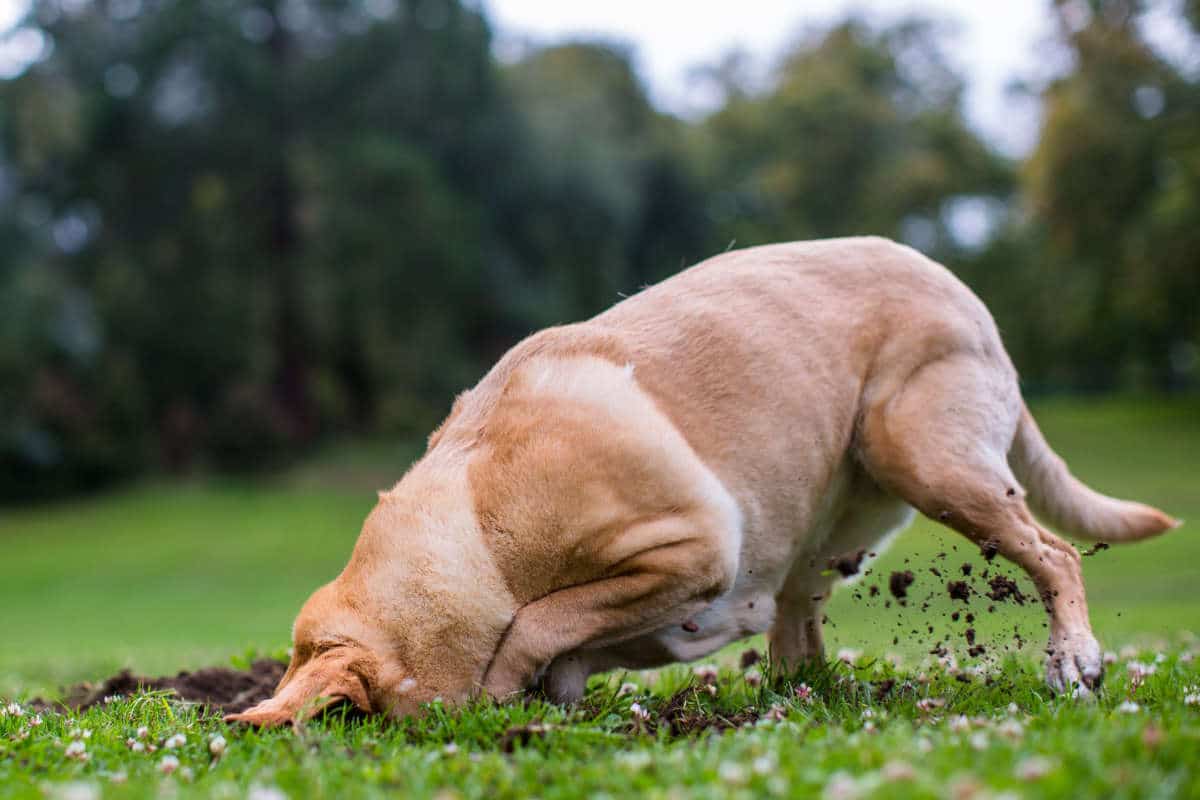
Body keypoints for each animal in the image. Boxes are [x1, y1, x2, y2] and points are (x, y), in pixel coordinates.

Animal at [226, 236, 1180, 724]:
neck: (474, 522)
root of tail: (970, 298)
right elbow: (563, 643)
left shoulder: (685, 549)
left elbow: (541, 622)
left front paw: (508, 690)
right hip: (827, 522)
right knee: (800, 639)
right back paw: (797, 699)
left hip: (930, 459)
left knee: (1055, 554)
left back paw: (1074, 661)